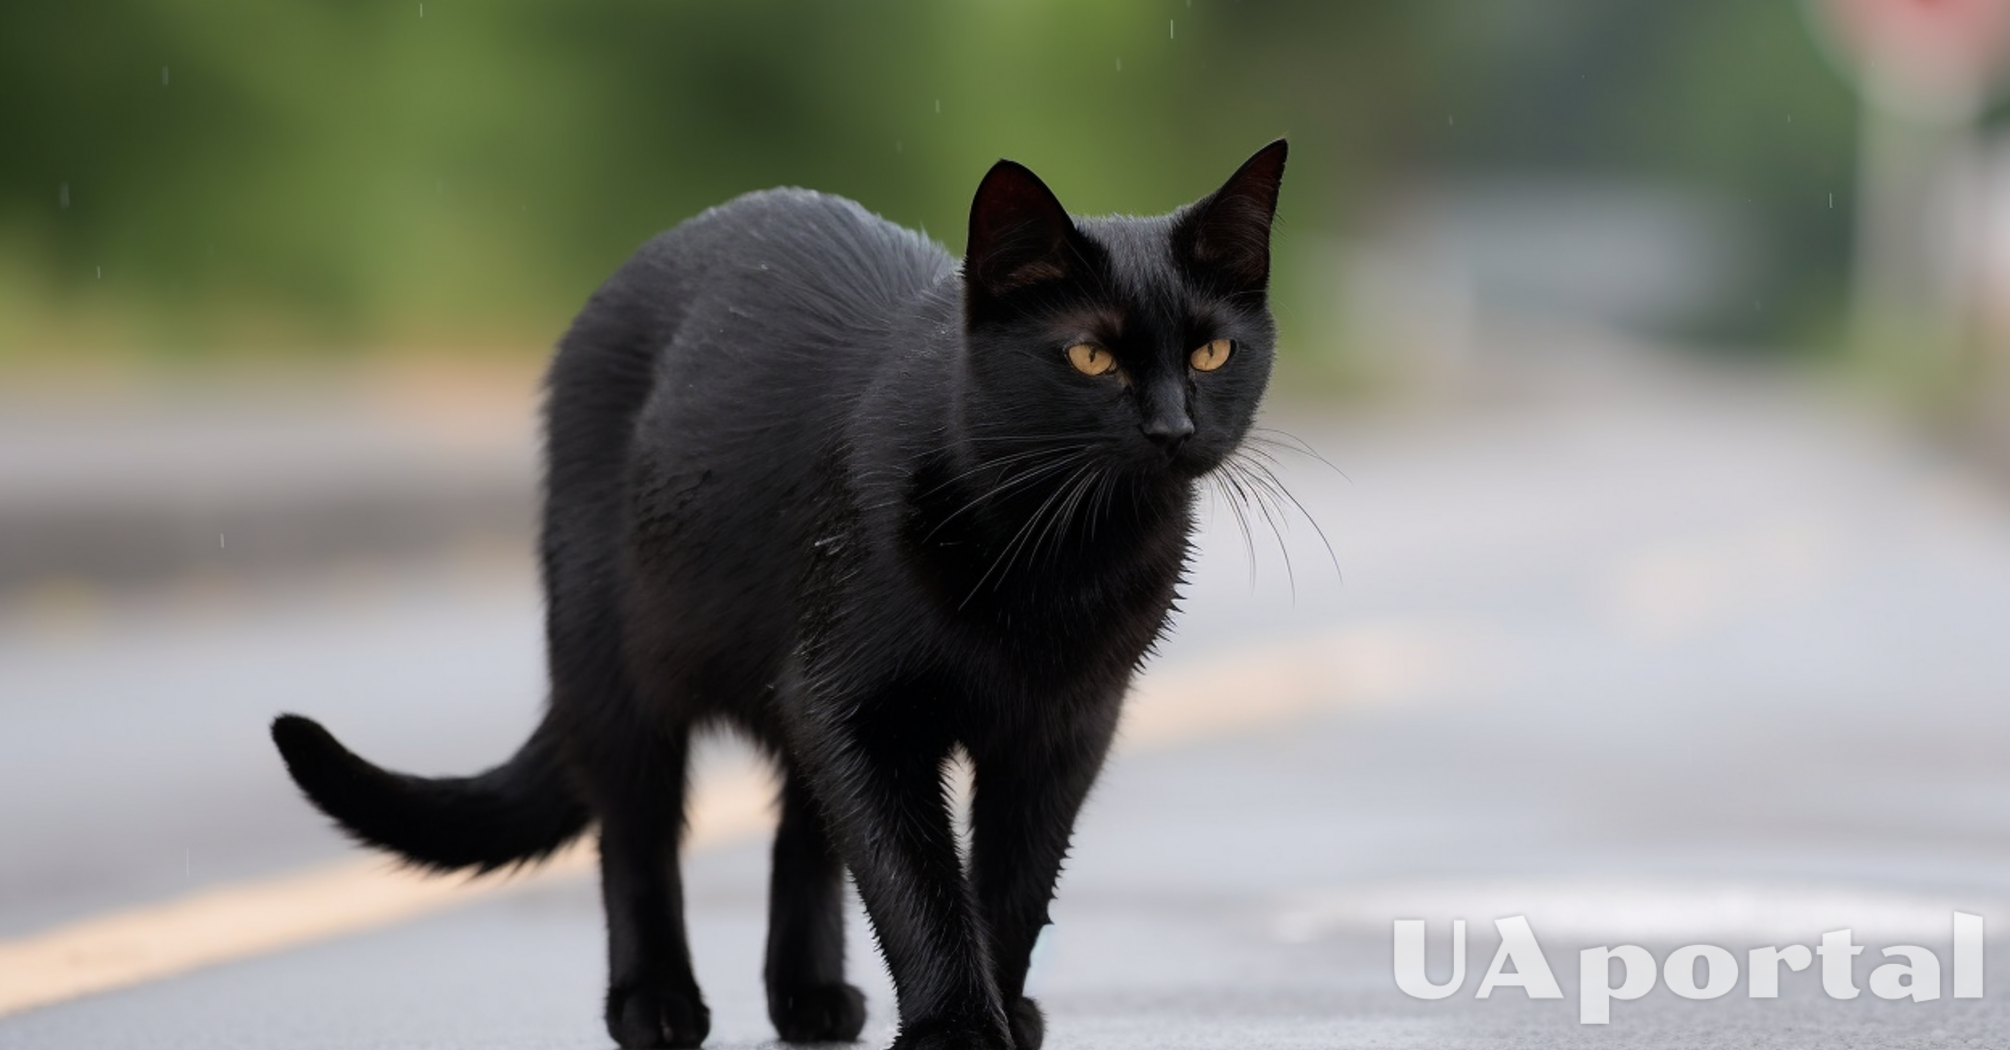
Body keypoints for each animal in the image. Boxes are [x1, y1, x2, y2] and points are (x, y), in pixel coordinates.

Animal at [271, 138, 1286, 1045]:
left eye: (1211, 354)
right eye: (1089, 359)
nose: (1172, 427)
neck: (1059, 555)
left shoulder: (1065, 723)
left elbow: (1016, 879)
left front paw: (1002, 1007)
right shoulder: (856, 703)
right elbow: (914, 875)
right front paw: (958, 1025)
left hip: (790, 673)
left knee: (801, 831)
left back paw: (809, 999)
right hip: (620, 668)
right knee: (637, 836)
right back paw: (654, 1004)